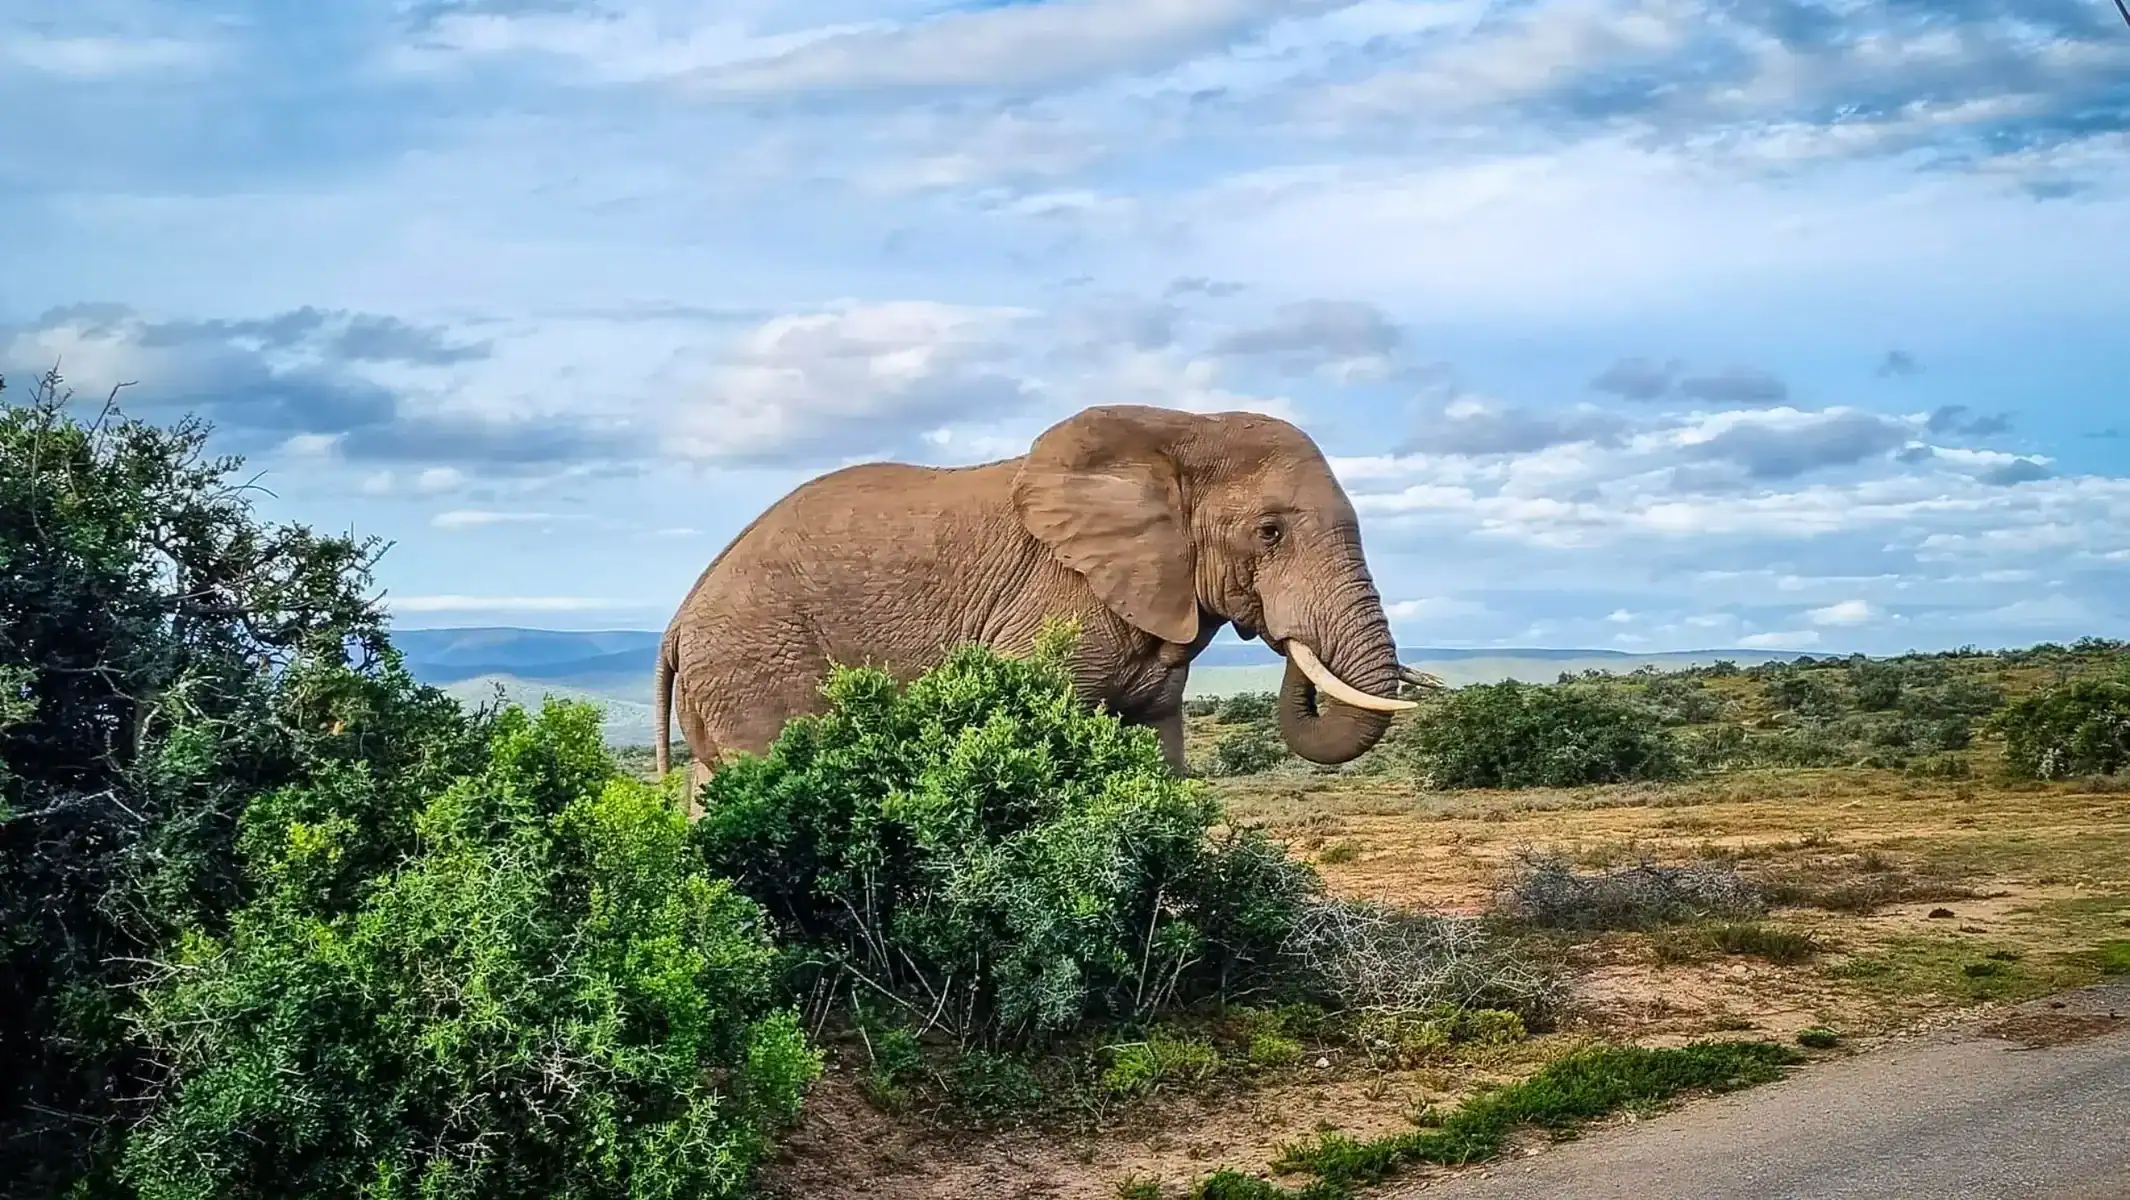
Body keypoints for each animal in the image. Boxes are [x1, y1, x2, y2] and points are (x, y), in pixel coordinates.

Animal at [652, 403, 1430, 799]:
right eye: (1269, 533)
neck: (1180, 428)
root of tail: (678, 622)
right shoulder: (1056, 599)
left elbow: (1157, 751)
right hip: (757, 661)